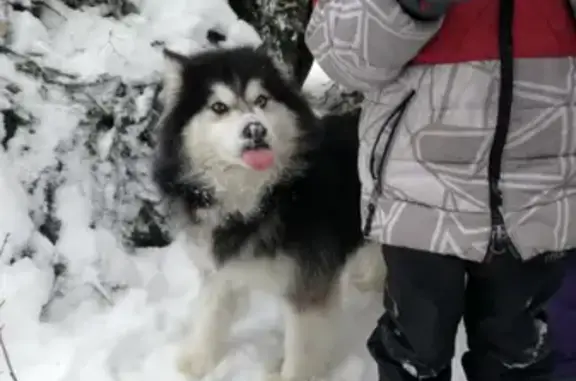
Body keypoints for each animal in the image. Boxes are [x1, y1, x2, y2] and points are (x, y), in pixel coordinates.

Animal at [153, 46, 388, 378]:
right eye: (219, 107)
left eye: (261, 100)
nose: (255, 129)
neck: (257, 198)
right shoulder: (219, 267)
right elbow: (211, 312)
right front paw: (197, 361)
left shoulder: (307, 283)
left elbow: (301, 345)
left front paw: (291, 373)